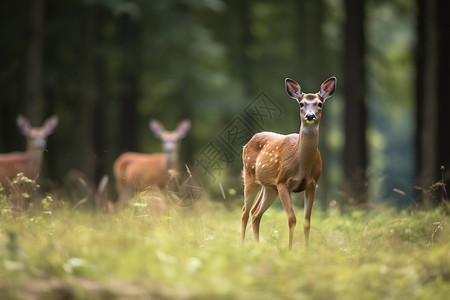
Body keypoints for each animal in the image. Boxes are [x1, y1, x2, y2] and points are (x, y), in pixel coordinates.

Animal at [241, 76, 336, 250]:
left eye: (320, 103)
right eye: (301, 104)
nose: (310, 116)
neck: (301, 164)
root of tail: (248, 142)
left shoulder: (312, 184)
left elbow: (307, 222)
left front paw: (306, 251)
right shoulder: (283, 182)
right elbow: (292, 219)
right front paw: (290, 249)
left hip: (269, 187)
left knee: (255, 213)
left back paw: (257, 246)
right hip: (250, 176)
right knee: (245, 210)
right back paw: (242, 244)